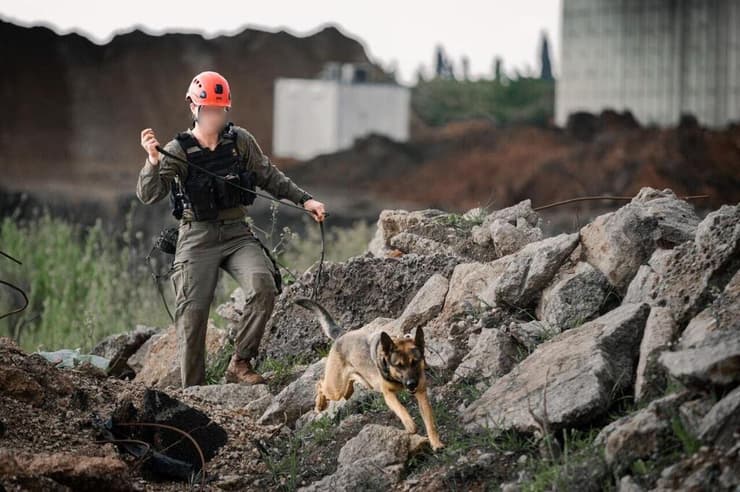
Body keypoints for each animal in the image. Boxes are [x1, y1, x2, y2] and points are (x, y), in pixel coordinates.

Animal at [294, 296, 446, 450]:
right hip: (335, 389)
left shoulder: (421, 393)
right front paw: (410, 425)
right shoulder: (388, 395)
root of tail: (342, 335)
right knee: (320, 384)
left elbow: (430, 422)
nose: (411, 384)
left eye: (415, 362)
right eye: (398, 365)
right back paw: (320, 404)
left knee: (346, 388)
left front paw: (436, 442)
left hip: (350, 386)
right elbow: (401, 409)